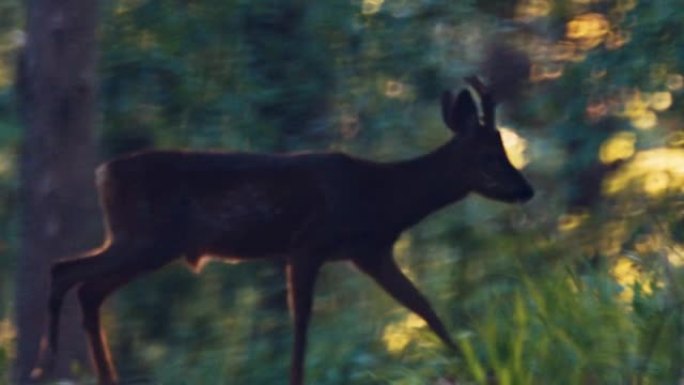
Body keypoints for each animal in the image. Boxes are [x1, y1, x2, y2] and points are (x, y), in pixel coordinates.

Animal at [44, 76, 536, 384]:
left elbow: (424, 306)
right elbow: (302, 320)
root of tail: (102, 173)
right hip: (146, 238)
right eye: (490, 156)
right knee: (68, 273)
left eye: (503, 149)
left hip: (140, 240)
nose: (526, 189)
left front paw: (475, 366)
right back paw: (47, 367)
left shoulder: (370, 252)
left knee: (85, 286)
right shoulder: (308, 244)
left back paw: (94, 374)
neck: (381, 197)